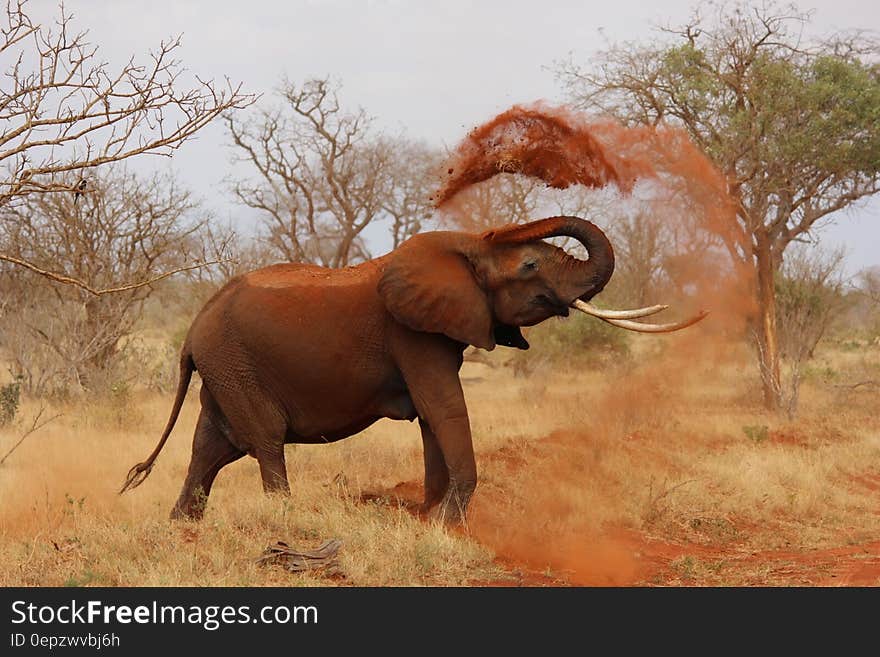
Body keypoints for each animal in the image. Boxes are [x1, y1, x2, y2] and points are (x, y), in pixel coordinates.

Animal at [122, 215, 700, 524]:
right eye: (531, 265)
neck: (465, 248)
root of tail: (192, 330)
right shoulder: (412, 334)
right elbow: (443, 407)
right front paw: (447, 521)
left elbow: (431, 416)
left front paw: (430, 516)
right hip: (234, 364)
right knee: (263, 440)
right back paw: (284, 517)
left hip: (224, 368)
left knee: (212, 446)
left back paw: (182, 528)